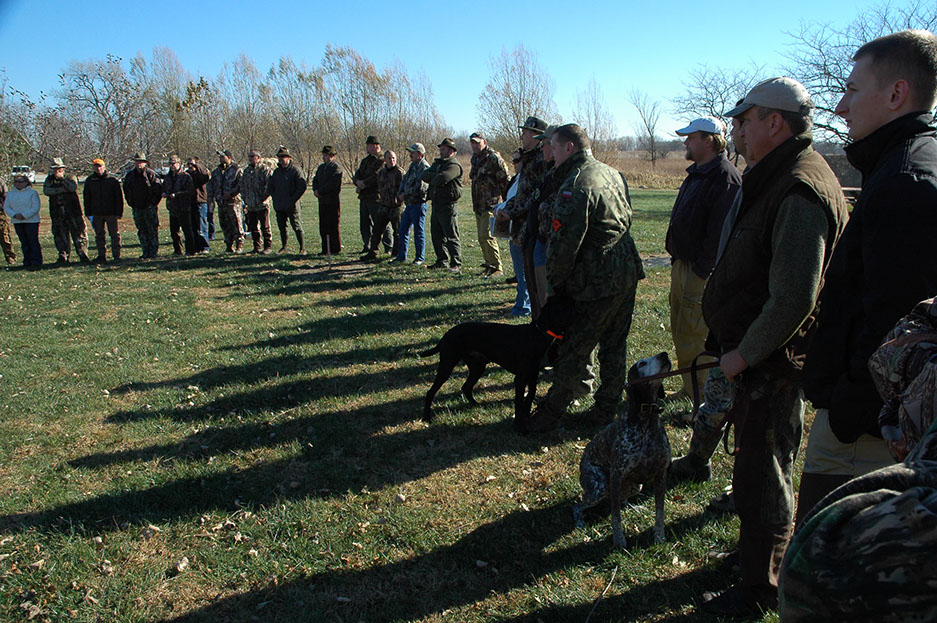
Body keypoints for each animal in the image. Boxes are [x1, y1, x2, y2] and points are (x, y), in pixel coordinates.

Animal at [419, 295, 575, 433]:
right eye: (563, 305)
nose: (576, 302)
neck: (539, 334)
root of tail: (446, 334)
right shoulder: (521, 378)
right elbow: (519, 402)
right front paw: (519, 426)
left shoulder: (533, 375)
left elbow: (529, 397)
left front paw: (525, 419)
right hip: (447, 366)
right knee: (431, 391)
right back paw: (426, 417)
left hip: (477, 368)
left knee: (466, 387)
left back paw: (477, 405)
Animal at [574, 351, 672, 548]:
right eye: (642, 364)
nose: (664, 354)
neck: (646, 420)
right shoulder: (617, 474)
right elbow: (616, 517)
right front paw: (619, 540)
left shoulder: (660, 475)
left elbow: (660, 512)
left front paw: (659, 536)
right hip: (599, 487)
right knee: (579, 506)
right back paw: (580, 521)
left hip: (636, 485)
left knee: (621, 500)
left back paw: (634, 506)